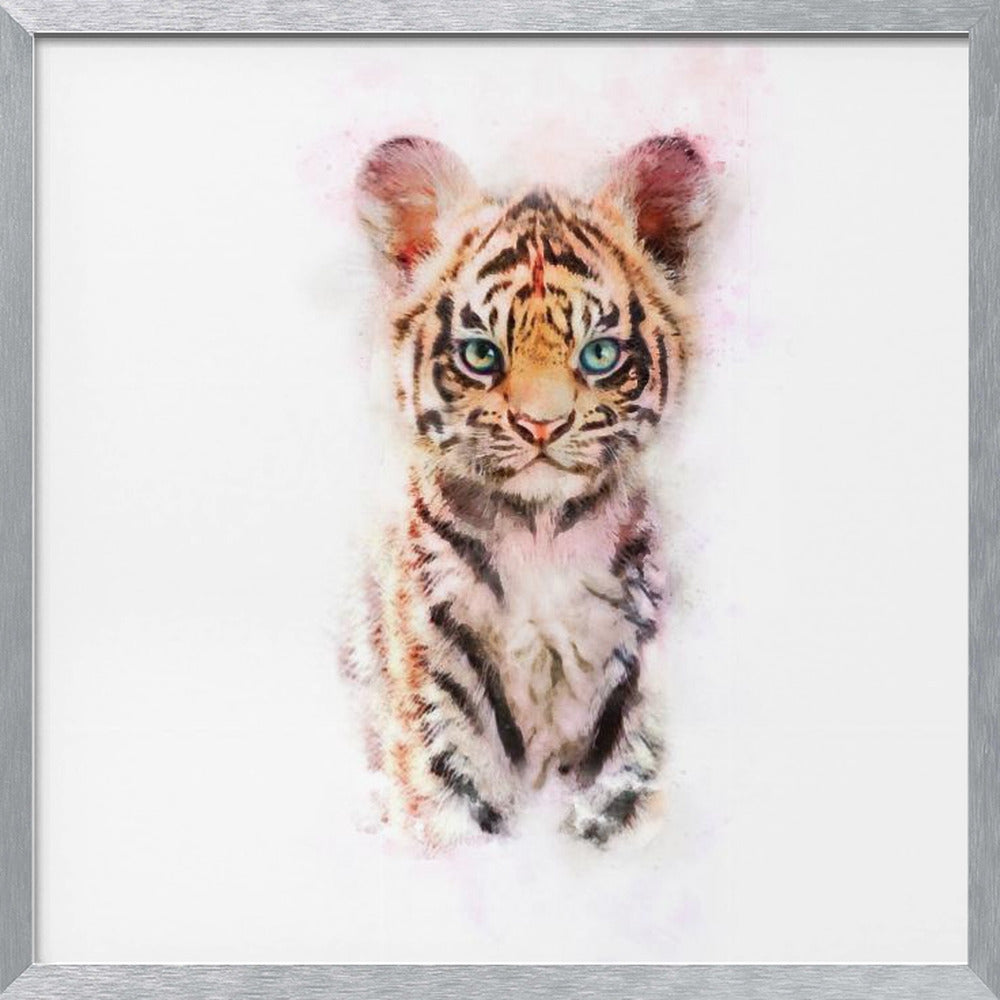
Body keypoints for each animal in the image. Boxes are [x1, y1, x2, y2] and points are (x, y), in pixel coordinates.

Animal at [343, 133, 711, 848]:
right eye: (482, 355)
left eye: (599, 355)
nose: (542, 424)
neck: (541, 537)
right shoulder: (439, 688)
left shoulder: (638, 685)